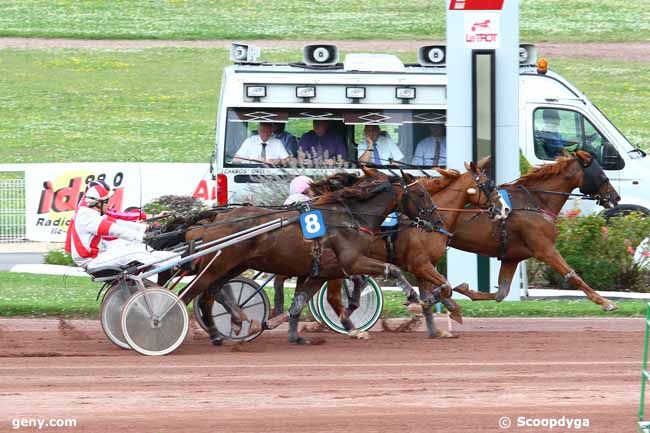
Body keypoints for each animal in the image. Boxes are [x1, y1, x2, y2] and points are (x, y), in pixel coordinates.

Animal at [448, 150, 620, 308]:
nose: (616, 197)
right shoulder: (545, 249)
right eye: (601, 174)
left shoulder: (511, 257)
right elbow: (572, 275)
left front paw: (464, 289)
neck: (535, 202)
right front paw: (605, 302)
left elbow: (500, 293)